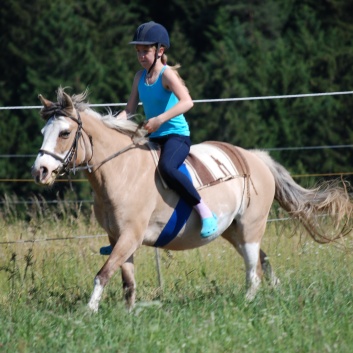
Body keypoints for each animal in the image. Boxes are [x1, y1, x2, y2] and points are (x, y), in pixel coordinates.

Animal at [31, 87, 350, 310]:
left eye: (65, 132)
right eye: (43, 131)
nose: (40, 171)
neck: (123, 170)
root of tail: (256, 158)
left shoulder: (130, 236)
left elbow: (103, 273)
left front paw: (89, 312)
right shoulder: (118, 238)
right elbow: (126, 281)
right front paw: (129, 315)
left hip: (251, 227)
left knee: (253, 269)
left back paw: (248, 301)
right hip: (234, 231)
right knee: (263, 259)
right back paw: (276, 290)